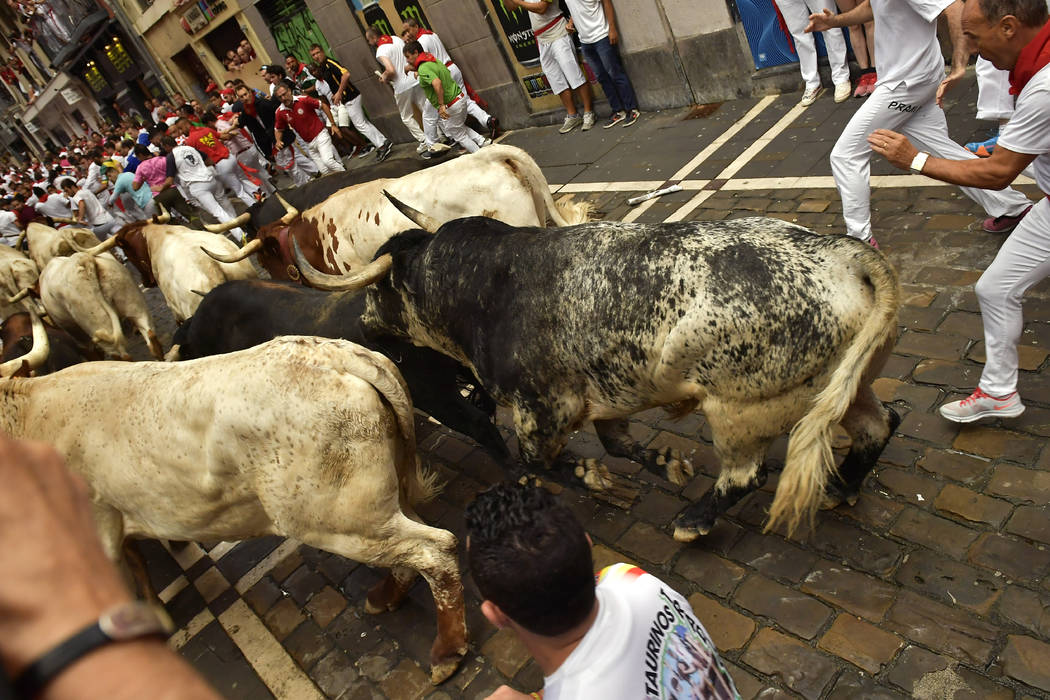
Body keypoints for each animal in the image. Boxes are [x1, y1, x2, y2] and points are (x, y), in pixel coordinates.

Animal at [296, 202, 902, 541]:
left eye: (379, 290)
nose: (364, 323)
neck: (484, 285)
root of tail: (839, 252)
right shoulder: (609, 397)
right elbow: (618, 443)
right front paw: (664, 463)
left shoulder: (543, 409)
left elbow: (536, 459)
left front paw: (593, 478)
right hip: (843, 388)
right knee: (879, 425)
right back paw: (842, 488)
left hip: (741, 411)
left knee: (743, 476)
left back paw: (694, 522)